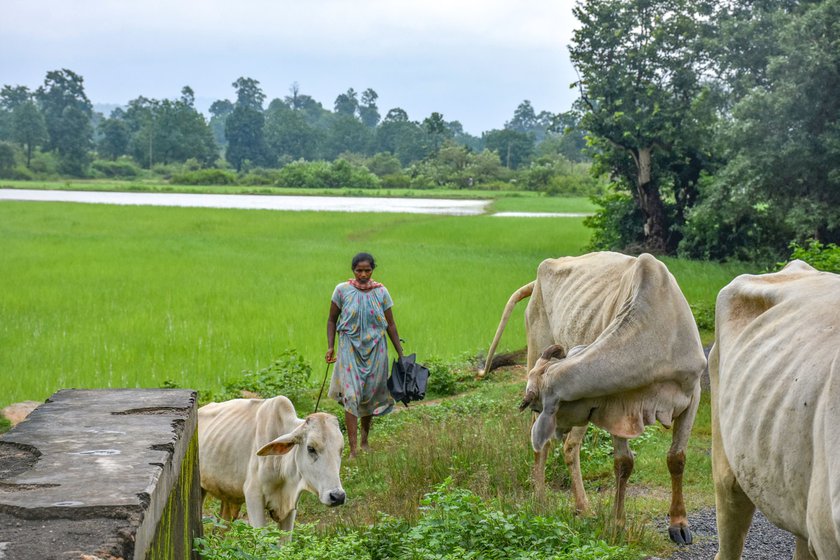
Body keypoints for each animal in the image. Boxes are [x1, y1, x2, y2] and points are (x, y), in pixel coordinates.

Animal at [482, 253, 704, 544]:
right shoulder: (617, 406)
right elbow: (624, 463)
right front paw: (618, 523)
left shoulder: (693, 393)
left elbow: (676, 458)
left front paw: (678, 523)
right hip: (534, 347)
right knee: (552, 448)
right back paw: (544, 500)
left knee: (568, 447)